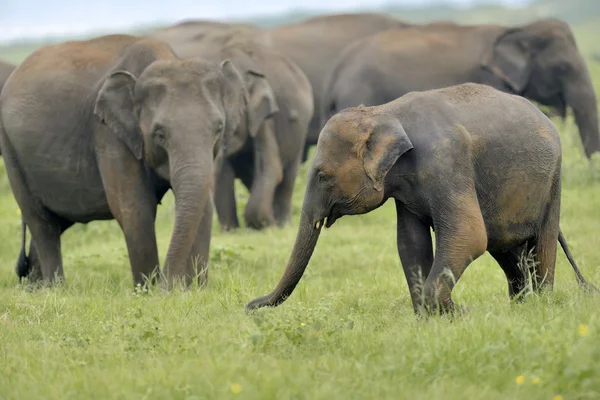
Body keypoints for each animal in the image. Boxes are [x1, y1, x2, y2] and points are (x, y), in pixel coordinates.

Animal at [0, 32, 247, 286]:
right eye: (159, 133)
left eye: (219, 129)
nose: (170, 285)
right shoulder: (109, 134)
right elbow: (135, 210)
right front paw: (149, 290)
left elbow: (204, 205)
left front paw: (194, 288)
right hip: (10, 150)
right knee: (41, 222)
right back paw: (55, 288)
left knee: (57, 221)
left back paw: (36, 288)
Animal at [157, 27, 314, 231]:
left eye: (220, 125)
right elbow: (224, 173)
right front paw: (230, 230)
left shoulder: (263, 117)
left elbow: (271, 167)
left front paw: (265, 225)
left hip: (300, 133)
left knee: (288, 175)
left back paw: (283, 224)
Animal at [246, 83, 596, 316]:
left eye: (322, 175)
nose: (249, 306)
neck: (384, 112)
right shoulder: (405, 188)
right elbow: (410, 243)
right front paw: (429, 319)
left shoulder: (446, 161)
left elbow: (468, 235)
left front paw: (454, 314)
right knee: (506, 249)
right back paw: (520, 308)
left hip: (553, 180)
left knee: (541, 245)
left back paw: (542, 305)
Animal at [324, 18, 600, 159]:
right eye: (563, 68)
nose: (593, 165)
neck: (520, 29)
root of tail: (337, 70)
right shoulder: (489, 78)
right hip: (360, 92)